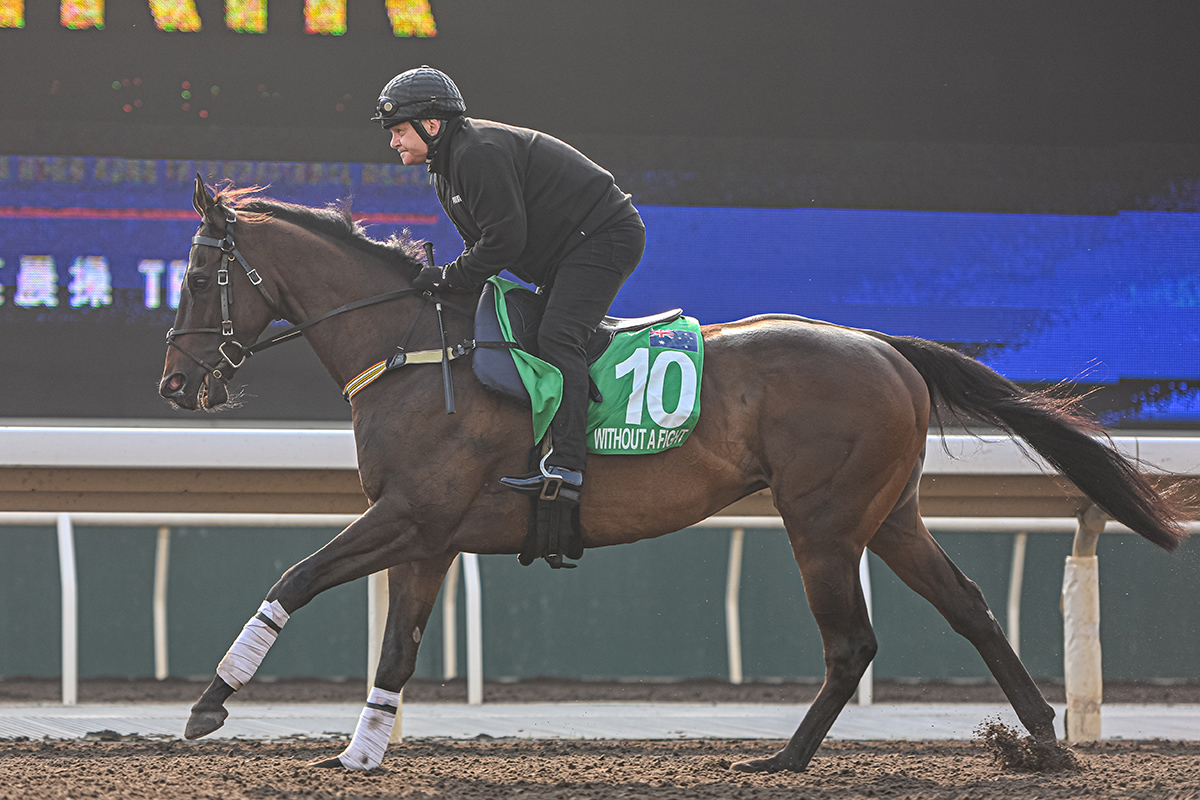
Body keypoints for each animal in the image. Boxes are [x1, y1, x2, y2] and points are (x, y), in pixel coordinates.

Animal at [157, 178, 1180, 772]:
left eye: (203, 276)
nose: (176, 384)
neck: (415, 349)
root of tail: (883, 345)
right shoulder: (431, 535)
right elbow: (396, 650)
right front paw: (361, 754)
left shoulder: (411, 516)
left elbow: (293, 579)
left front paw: (209, 704)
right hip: (889, 516)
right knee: (967, 605)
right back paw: (1043, 744)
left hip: (822, 522)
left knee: (852, 643)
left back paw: (784, 761)